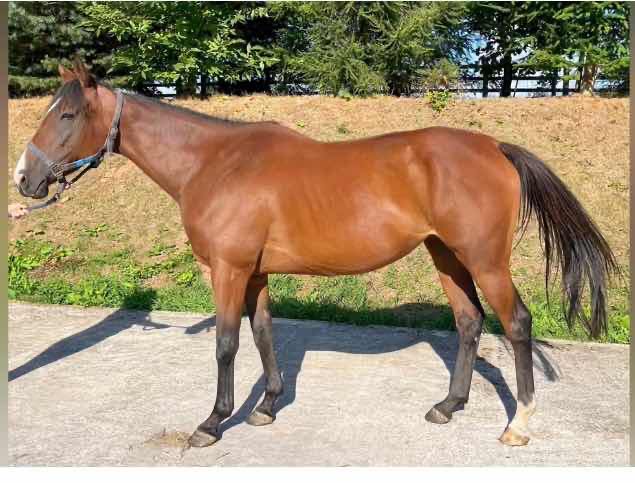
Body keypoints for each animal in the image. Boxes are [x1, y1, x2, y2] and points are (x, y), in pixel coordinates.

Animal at [13, 60, 617, 448]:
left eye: (67, 116)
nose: (25, 178)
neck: (215, 162)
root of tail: (494, 146)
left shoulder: (228, 271)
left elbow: (226, 345)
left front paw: (213, 422)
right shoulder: (254, 274)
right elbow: (262, 334)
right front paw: (267, 406)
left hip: (485, 261)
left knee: (515, 323)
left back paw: (519, 424)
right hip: (446, 256)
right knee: (469, 323)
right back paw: (448, 407)